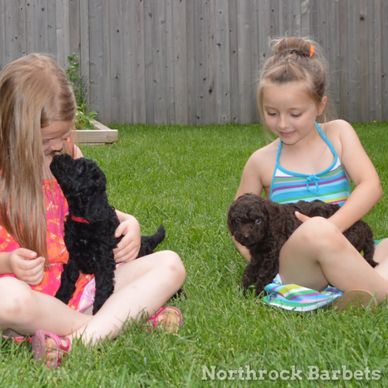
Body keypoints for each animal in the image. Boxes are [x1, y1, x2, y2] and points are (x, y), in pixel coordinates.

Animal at [50, 153, 165, 314]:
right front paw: (60, 299)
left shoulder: (104, 262)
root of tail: (143, 241)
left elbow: (103, 288)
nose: (58, 154)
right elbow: (67, 279)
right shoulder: (73, 256)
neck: (84, 220)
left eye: (80, 168)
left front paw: (98, 311)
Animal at [227, 192, 376, 296]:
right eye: (237, 220)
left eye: (258, 221)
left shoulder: (273, 257)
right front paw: (242, 290)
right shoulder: (258, 256)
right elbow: (249, 272)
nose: (246, 236)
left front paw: (257, 295)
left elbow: (263, 275)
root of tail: (365, 226)